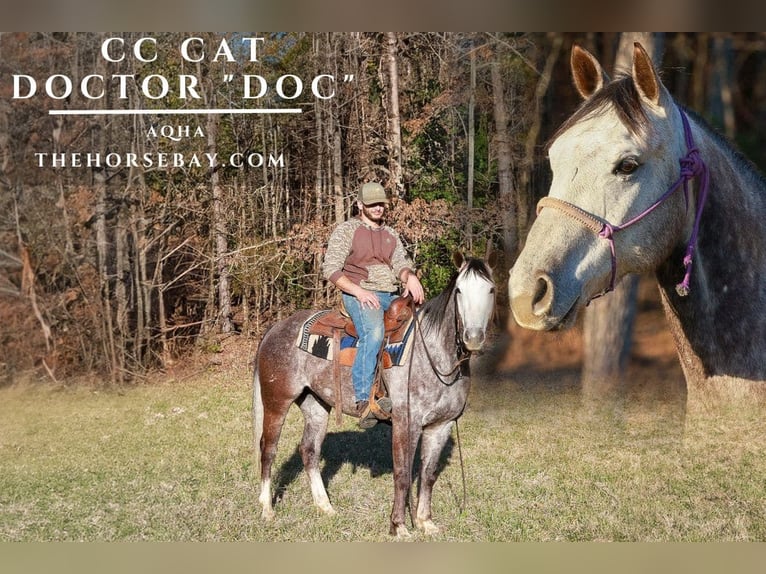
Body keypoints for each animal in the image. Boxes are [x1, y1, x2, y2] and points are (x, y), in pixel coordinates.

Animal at [253, 252, 496, 537]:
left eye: (491, 290)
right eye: (459, 290)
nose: (474, 338)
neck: (435, 355)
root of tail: (275, 328)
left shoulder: (441, 425)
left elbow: (428, 475)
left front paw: (425, 522)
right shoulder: (406, 422)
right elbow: (402, 474)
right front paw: (399, 526)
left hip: (315, 404)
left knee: (309, 451)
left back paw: (325, 507)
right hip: (277, 401)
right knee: (268, 449)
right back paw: (267, 510)